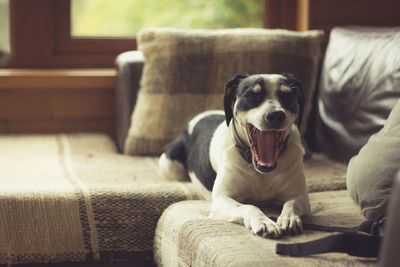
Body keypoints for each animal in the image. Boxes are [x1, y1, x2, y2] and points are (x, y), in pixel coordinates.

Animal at [159, 73, 310, 239]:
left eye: (288, 95)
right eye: (252, 95)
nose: (276, 115)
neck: (259, 172)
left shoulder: (300, 196)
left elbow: (291, 203)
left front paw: (289, 218)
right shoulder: (222, 200)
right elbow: (249, 206)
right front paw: (264, 222)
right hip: (169, 165)